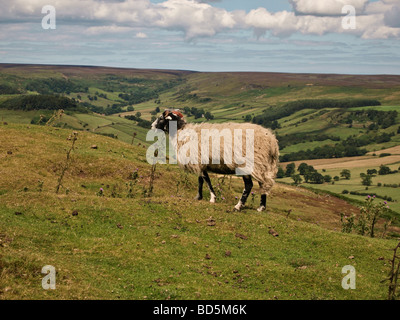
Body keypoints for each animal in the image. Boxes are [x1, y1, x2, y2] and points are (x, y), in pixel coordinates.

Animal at [152, 109, 280, 211]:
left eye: (161, 118)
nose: (152, 126)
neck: (181, 131)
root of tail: (271, 141)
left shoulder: (199, 160)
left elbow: (206, 180)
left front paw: (212, 198)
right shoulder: (200, 162)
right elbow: (200, 180)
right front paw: (198, 197)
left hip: (247, 163)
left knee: (249, 185)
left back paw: (238, 206)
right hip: (262, 164)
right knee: (264, 183)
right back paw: (261, 207)